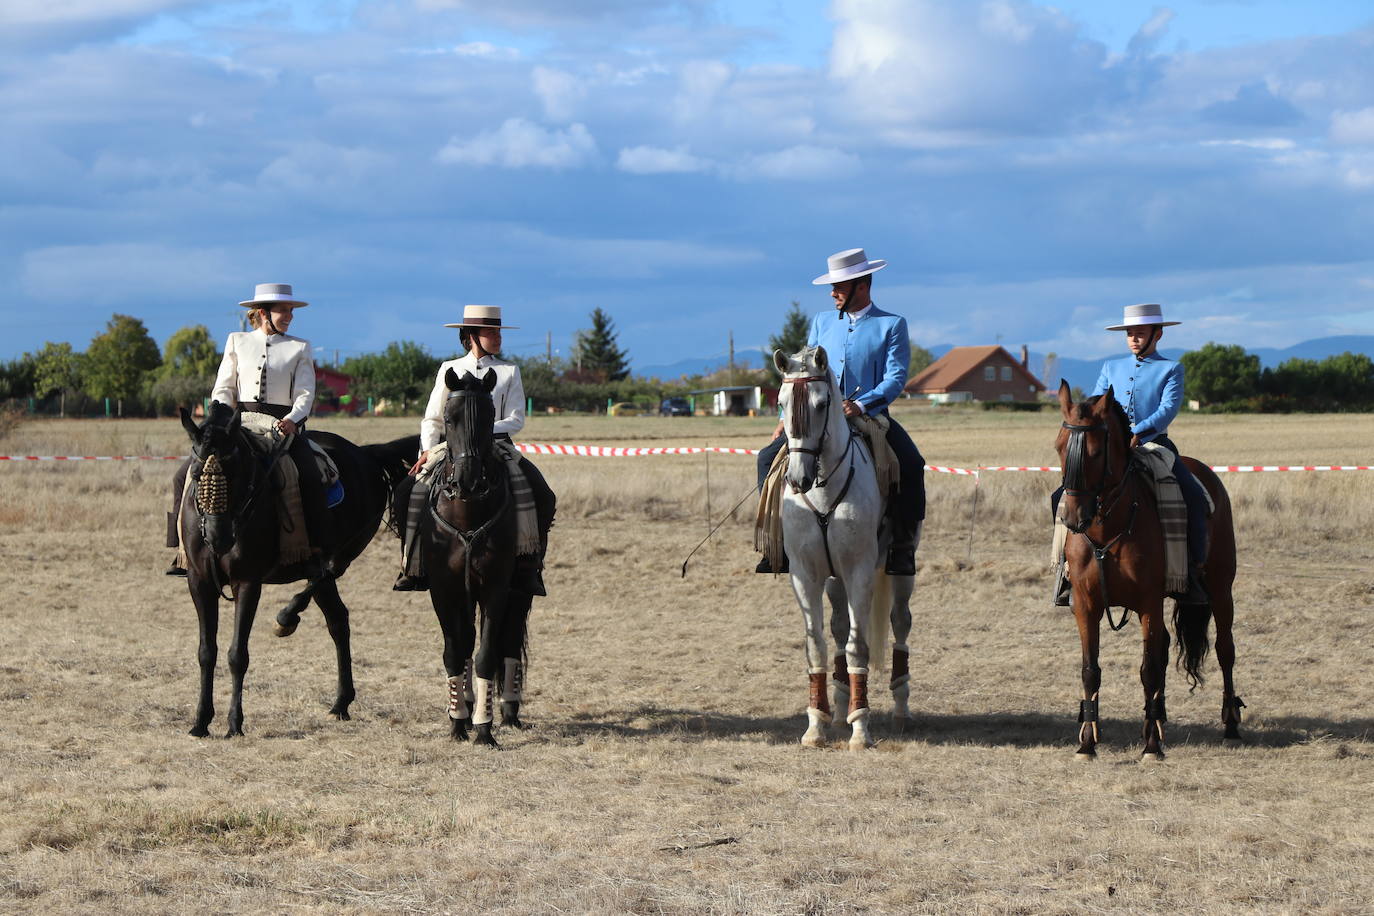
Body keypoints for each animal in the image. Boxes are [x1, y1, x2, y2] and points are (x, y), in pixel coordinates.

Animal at [177, 403, 414, 741]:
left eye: (236, 472)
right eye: (197, 473)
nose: (218, 538)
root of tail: (366, 454)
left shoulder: (247, 582)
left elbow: (237, 655)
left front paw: (234, 723)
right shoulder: (200, 583)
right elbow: (206, 652)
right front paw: (200, 721)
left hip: (344, 550)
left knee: (326, 576)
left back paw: (287, 617)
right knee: (338, 620)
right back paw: (341, 703)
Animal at [414, 368, 533, 747]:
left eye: (487, 418)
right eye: (449, 419)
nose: (467, 480)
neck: (467, 512)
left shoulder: (497, 588)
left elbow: (486, 655)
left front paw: (484, 727)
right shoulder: (444, 590)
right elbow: (455, 653)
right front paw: (457, 721)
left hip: (521, 592)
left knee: (508, 643)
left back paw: (508, 712)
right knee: (464, 641)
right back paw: (463, 707)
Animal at [774, 347, 912, 747]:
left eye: (822, 403)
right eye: (781, 402)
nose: (798, 478)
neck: (823, 487)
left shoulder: (859, 572)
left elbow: (858, 646)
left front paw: (861, 728)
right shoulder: (805, 575)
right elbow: (817, 645)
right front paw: (815, 725)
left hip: (900, 571)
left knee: (900, 622)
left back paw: (900, 709)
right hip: (833, 579)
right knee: (837, 627)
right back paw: (837, 710)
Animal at [1049, 379, 1247, 758]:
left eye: (1095, 452)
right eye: (1059, 446)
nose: (1073, 517)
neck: (1107, 530)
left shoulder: (1147, 603)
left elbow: (1149, 669)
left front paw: (1152, 747)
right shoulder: (1086, 606)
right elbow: (1090, 670)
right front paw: (1087, 742)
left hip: (1220, 590)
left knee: (1224, 650)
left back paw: (1229, 723)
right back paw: (1156, 718)